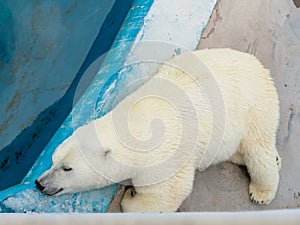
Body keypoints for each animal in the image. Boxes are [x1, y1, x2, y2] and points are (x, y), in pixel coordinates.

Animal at [35, 49, 282, 213]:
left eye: (67, 168)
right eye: (53, 159)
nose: (40, 183)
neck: (132, 127)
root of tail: (257, 64)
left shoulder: (162, 157)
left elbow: (166, 195)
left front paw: (130, 195)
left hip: (253, 105)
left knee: (258, 149)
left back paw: (262, 191)